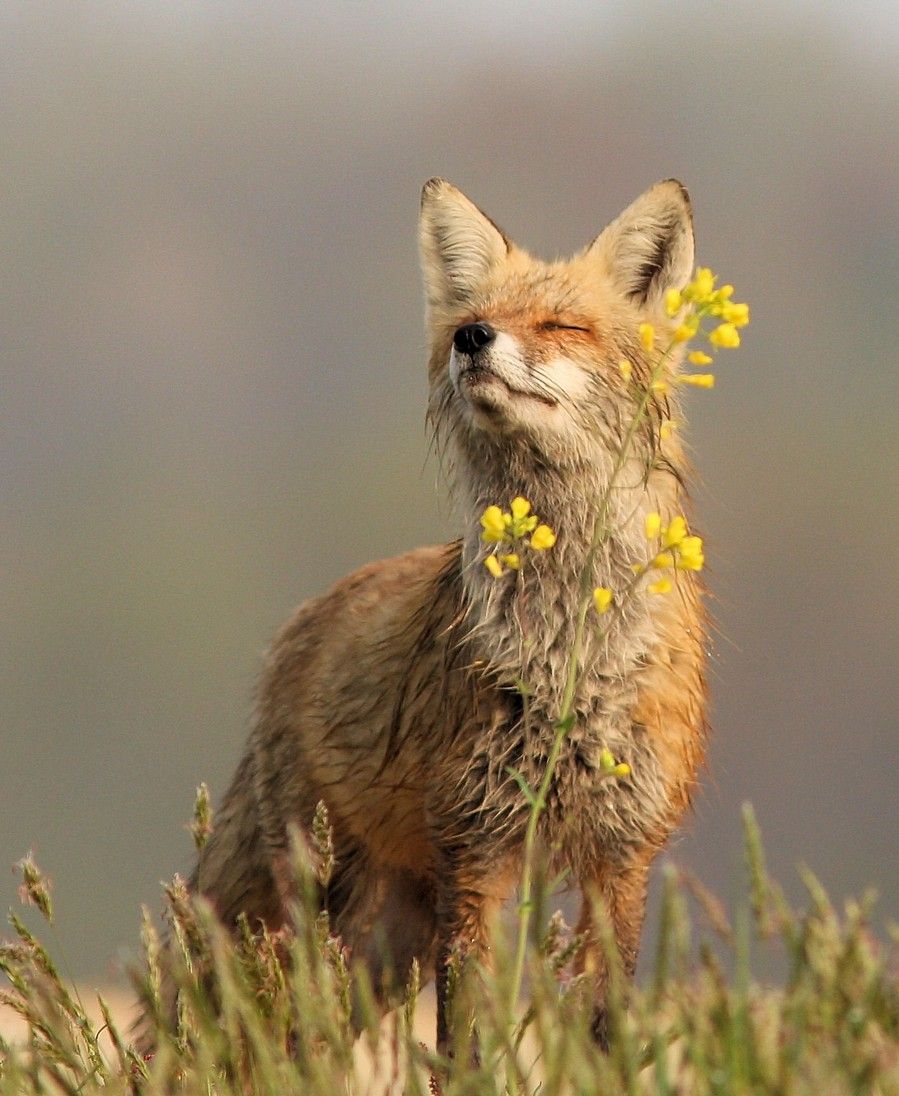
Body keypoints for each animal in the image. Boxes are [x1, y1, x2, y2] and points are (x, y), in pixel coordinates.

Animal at [151, 179, 706, 1052]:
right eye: (465, 320)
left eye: (562, 325)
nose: (473, 340)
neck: (569, 660)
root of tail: (293, 631)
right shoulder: (473, 847)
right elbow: (463, 1046)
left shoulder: (622, 853)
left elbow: (606, 1031)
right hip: (321, 915)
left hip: (383, 950)